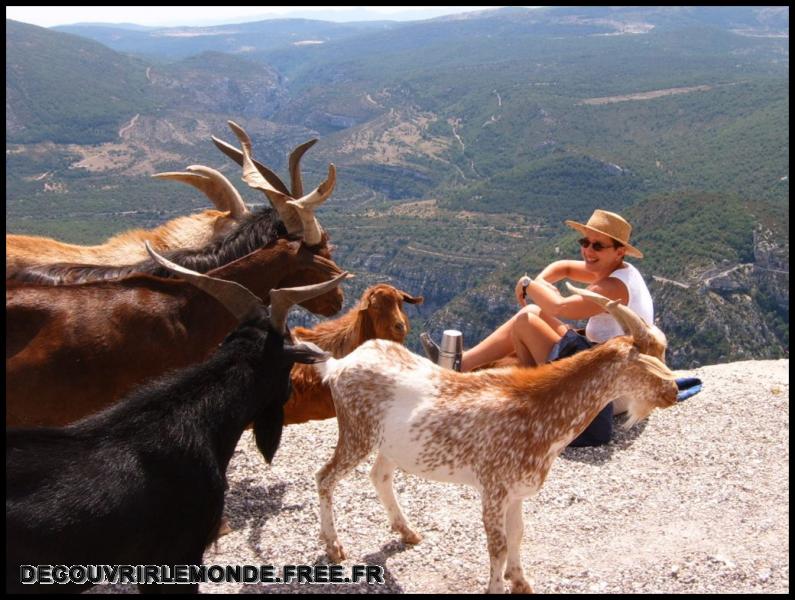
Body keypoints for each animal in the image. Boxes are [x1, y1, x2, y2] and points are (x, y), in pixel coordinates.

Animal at [316, 284, 676, 592]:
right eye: (648, 362)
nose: (673, 391)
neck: (537, 410)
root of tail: (339, 364)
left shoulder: (515, 492)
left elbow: (518, 536)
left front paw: (521, 582)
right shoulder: (493, 488)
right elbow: (498, 546)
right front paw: (497, 587)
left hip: (390, 444)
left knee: (379, 475)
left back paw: (407, 532)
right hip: (356, 432)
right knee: (325, 477)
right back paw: (334, 547)